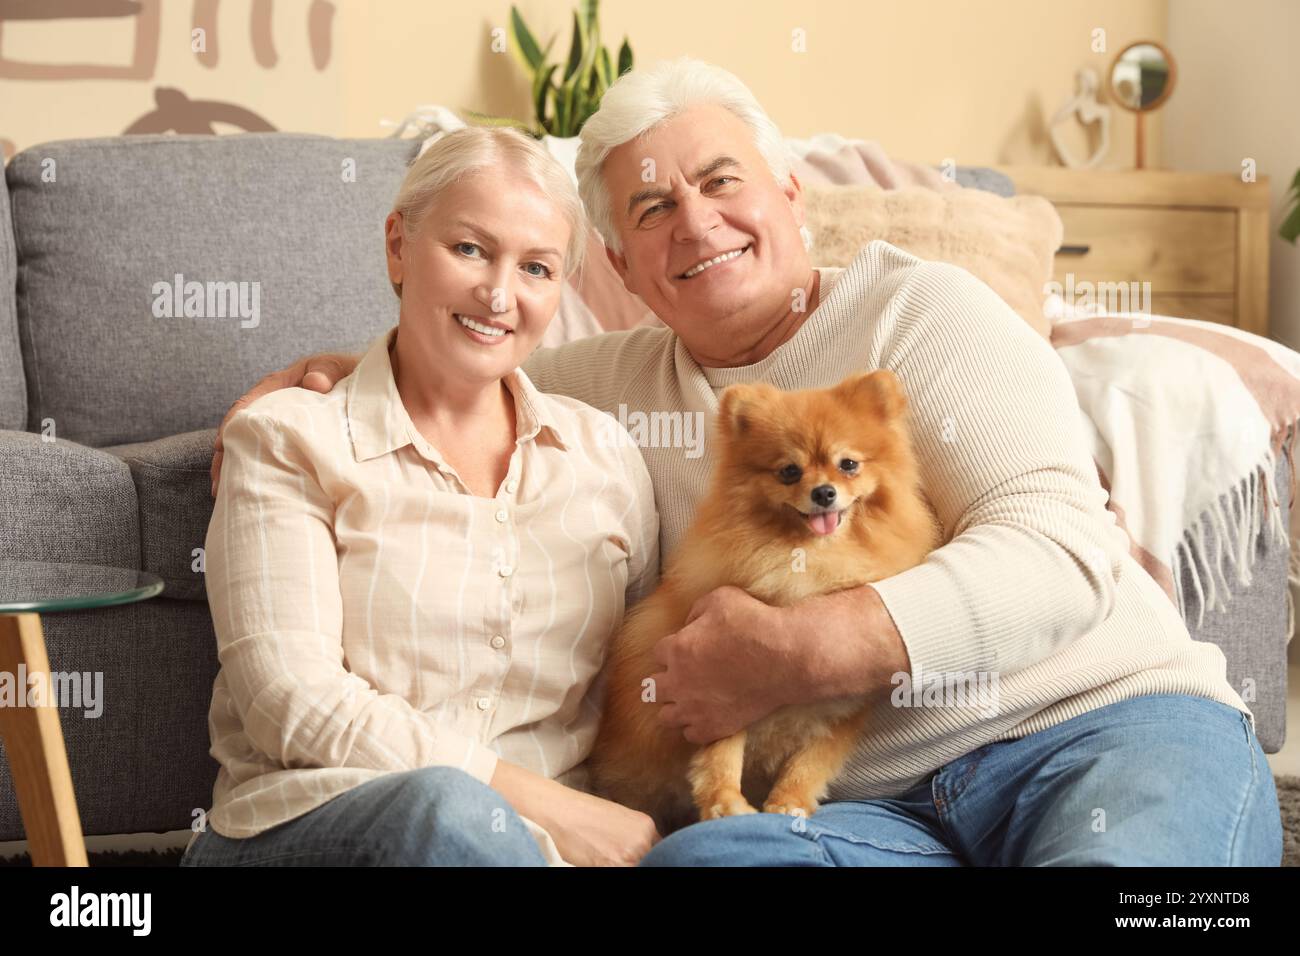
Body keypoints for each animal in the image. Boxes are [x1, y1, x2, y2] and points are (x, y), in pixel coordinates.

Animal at [592, 369, 946, 832]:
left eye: (848, 464)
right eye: (789, 472)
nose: (824, 492)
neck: (811, 562)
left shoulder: (842, 708)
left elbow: (811, 762)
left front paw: (788, 802)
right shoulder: (711, 688)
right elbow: (722, 753)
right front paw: (724, 802)